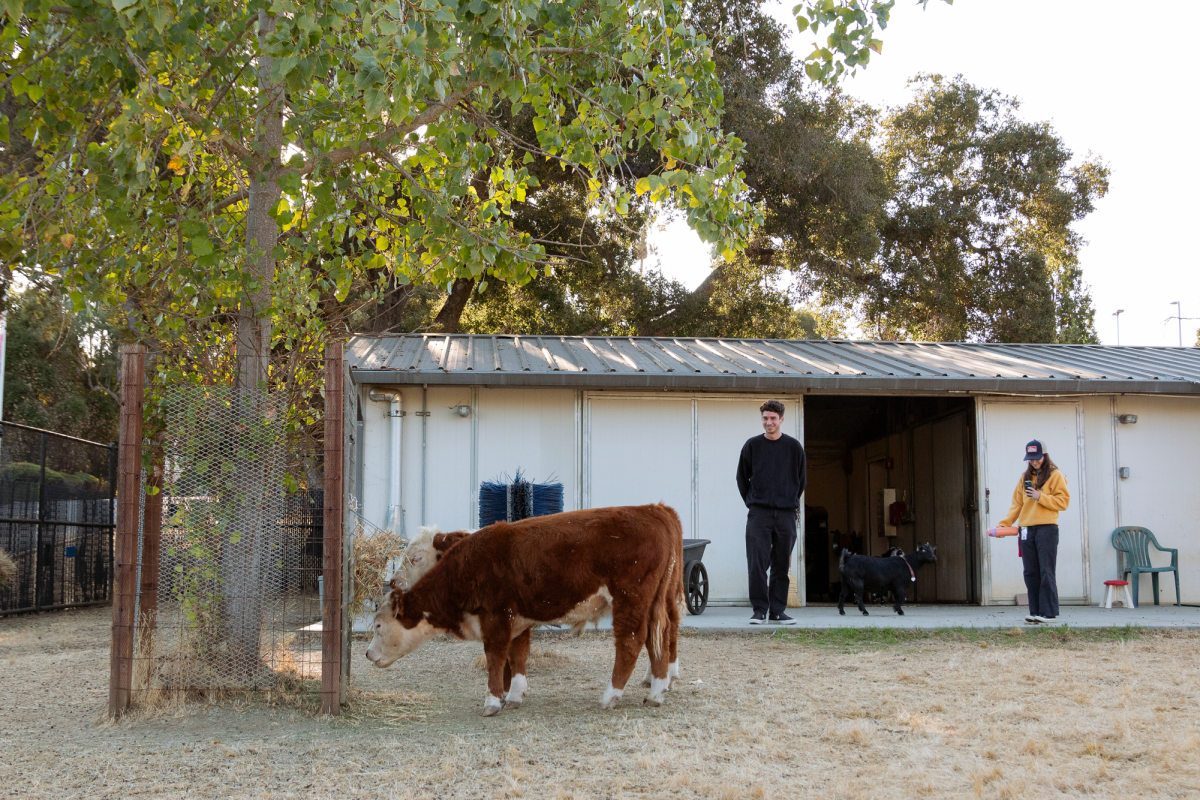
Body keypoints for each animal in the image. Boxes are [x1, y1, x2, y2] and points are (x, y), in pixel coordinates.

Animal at [362, 503, 686, 714]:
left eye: (378, 625)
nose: (367, 654)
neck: (465, 565)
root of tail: (653, 509)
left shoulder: (496, 617)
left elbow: (495, 657)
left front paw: (493, 700)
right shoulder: (515, 619)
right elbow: (516, 655)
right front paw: (514, 694)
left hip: (630, 600)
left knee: (631, 642)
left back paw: (611, 696)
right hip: (654, 603)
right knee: (659, 637)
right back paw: (657, 690)